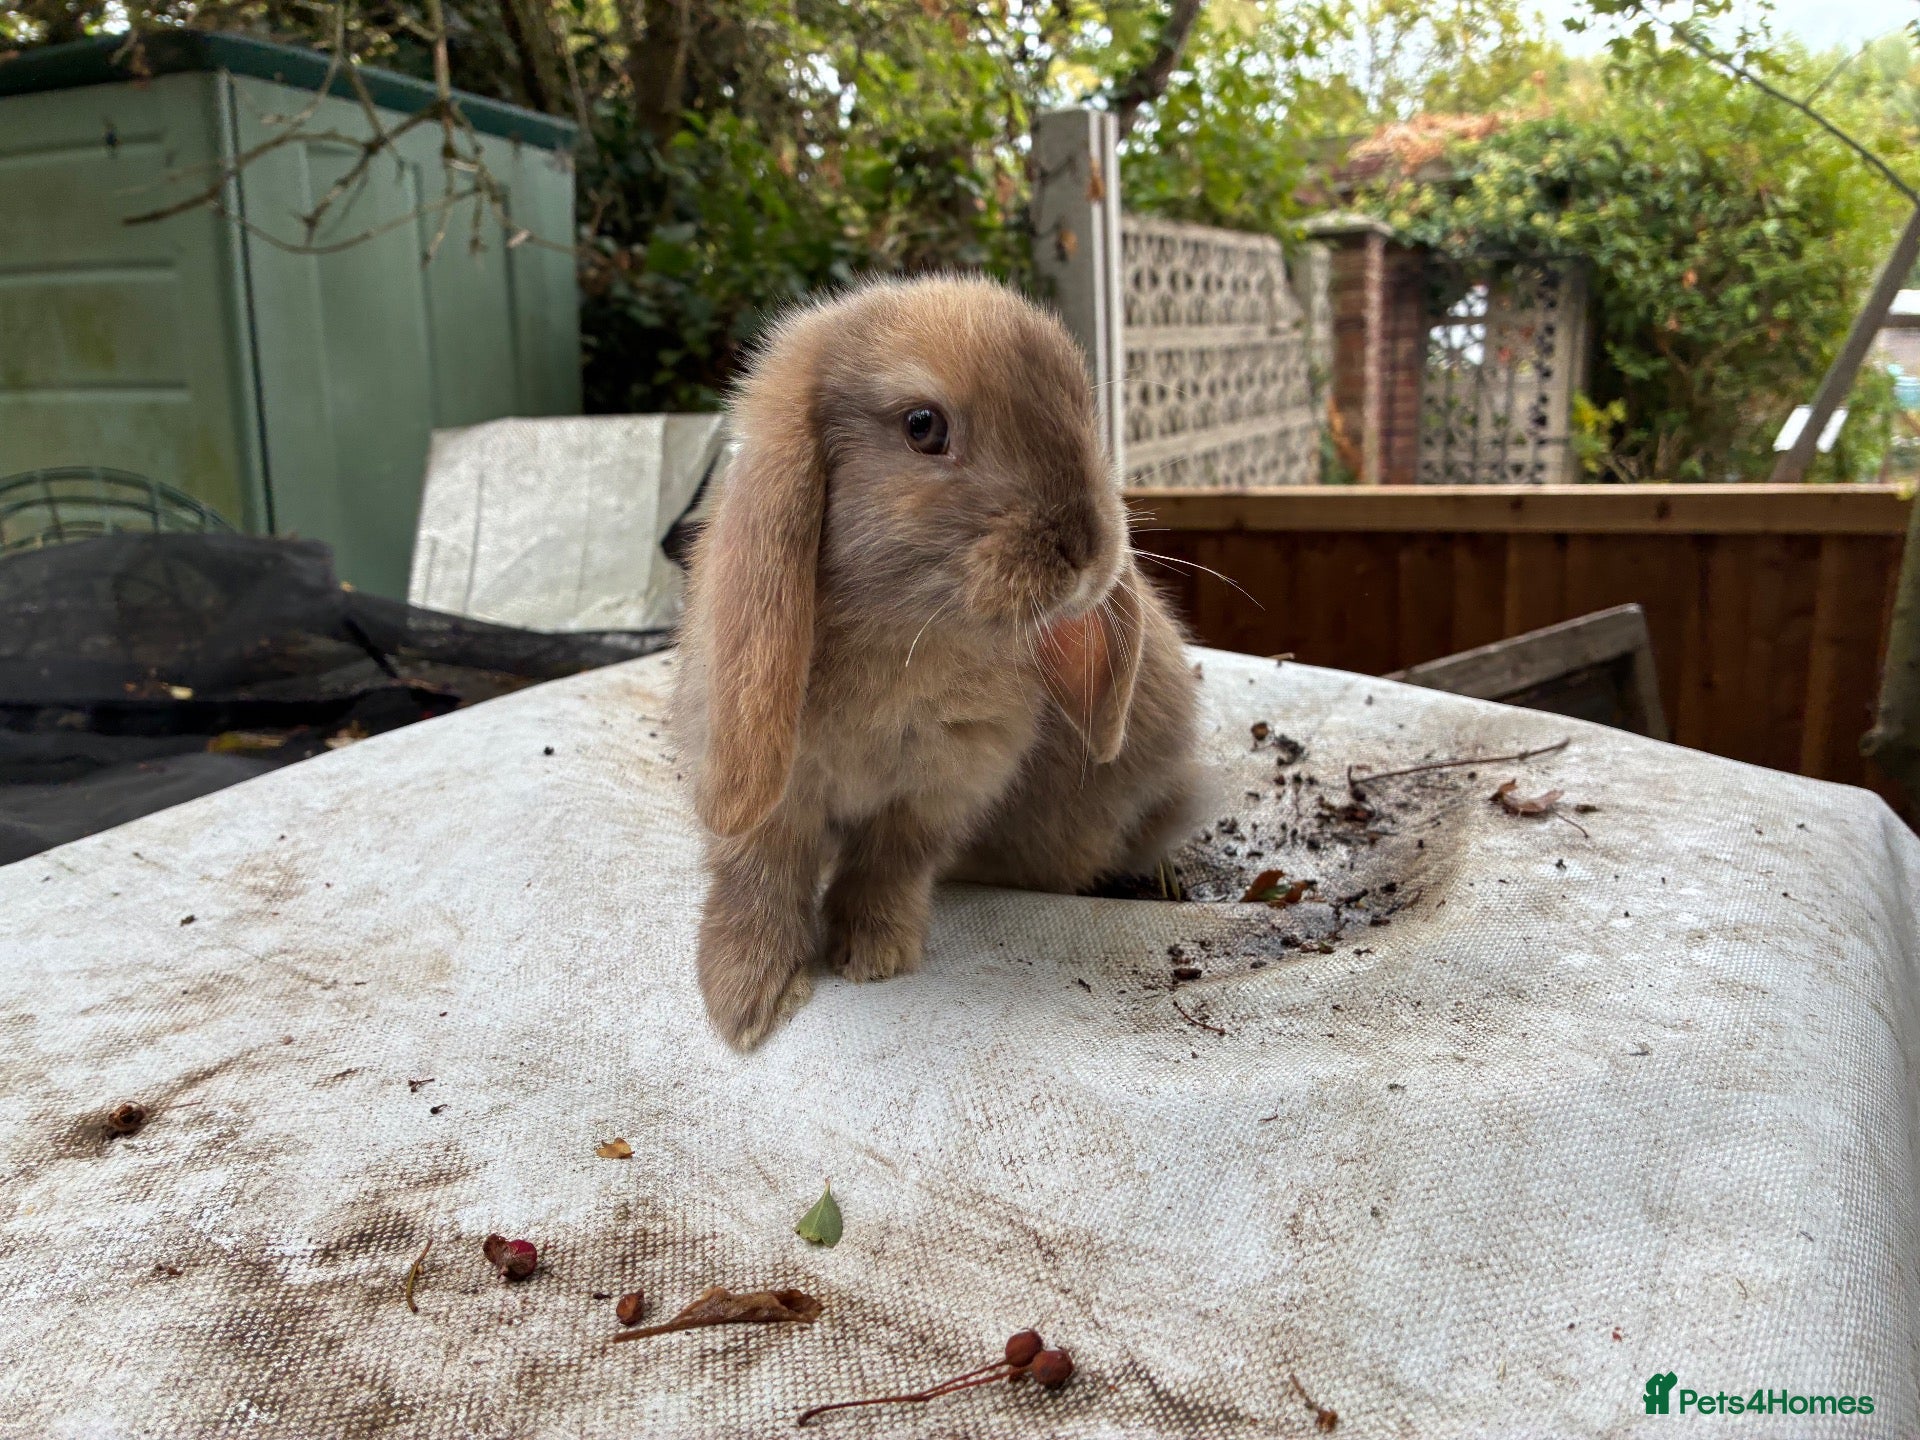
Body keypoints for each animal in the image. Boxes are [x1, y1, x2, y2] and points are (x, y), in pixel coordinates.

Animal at [671, 275, 1200, 1050]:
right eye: (923, 426)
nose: (1086, 550)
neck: (905, 637)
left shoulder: (938, 791)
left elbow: (890, 864)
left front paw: (872, 954)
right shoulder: (778, 792)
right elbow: (761, 872)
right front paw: (746, 996)